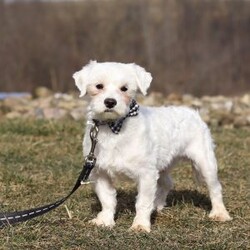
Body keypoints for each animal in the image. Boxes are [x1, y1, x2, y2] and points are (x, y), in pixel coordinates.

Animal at [73, 60, 231, 232]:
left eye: (124, 88)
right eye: (99, 86)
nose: (110, 102)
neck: (113, 128)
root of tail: (193, 113)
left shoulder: (146, 174)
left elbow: (143, 202)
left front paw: (140, 225)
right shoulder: (100, 173)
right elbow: (107, 199)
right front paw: (105, 220)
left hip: (204, 162)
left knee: (215, 187)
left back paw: (220, 213)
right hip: (162, 165)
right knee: (167, 183)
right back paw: (157, 205)